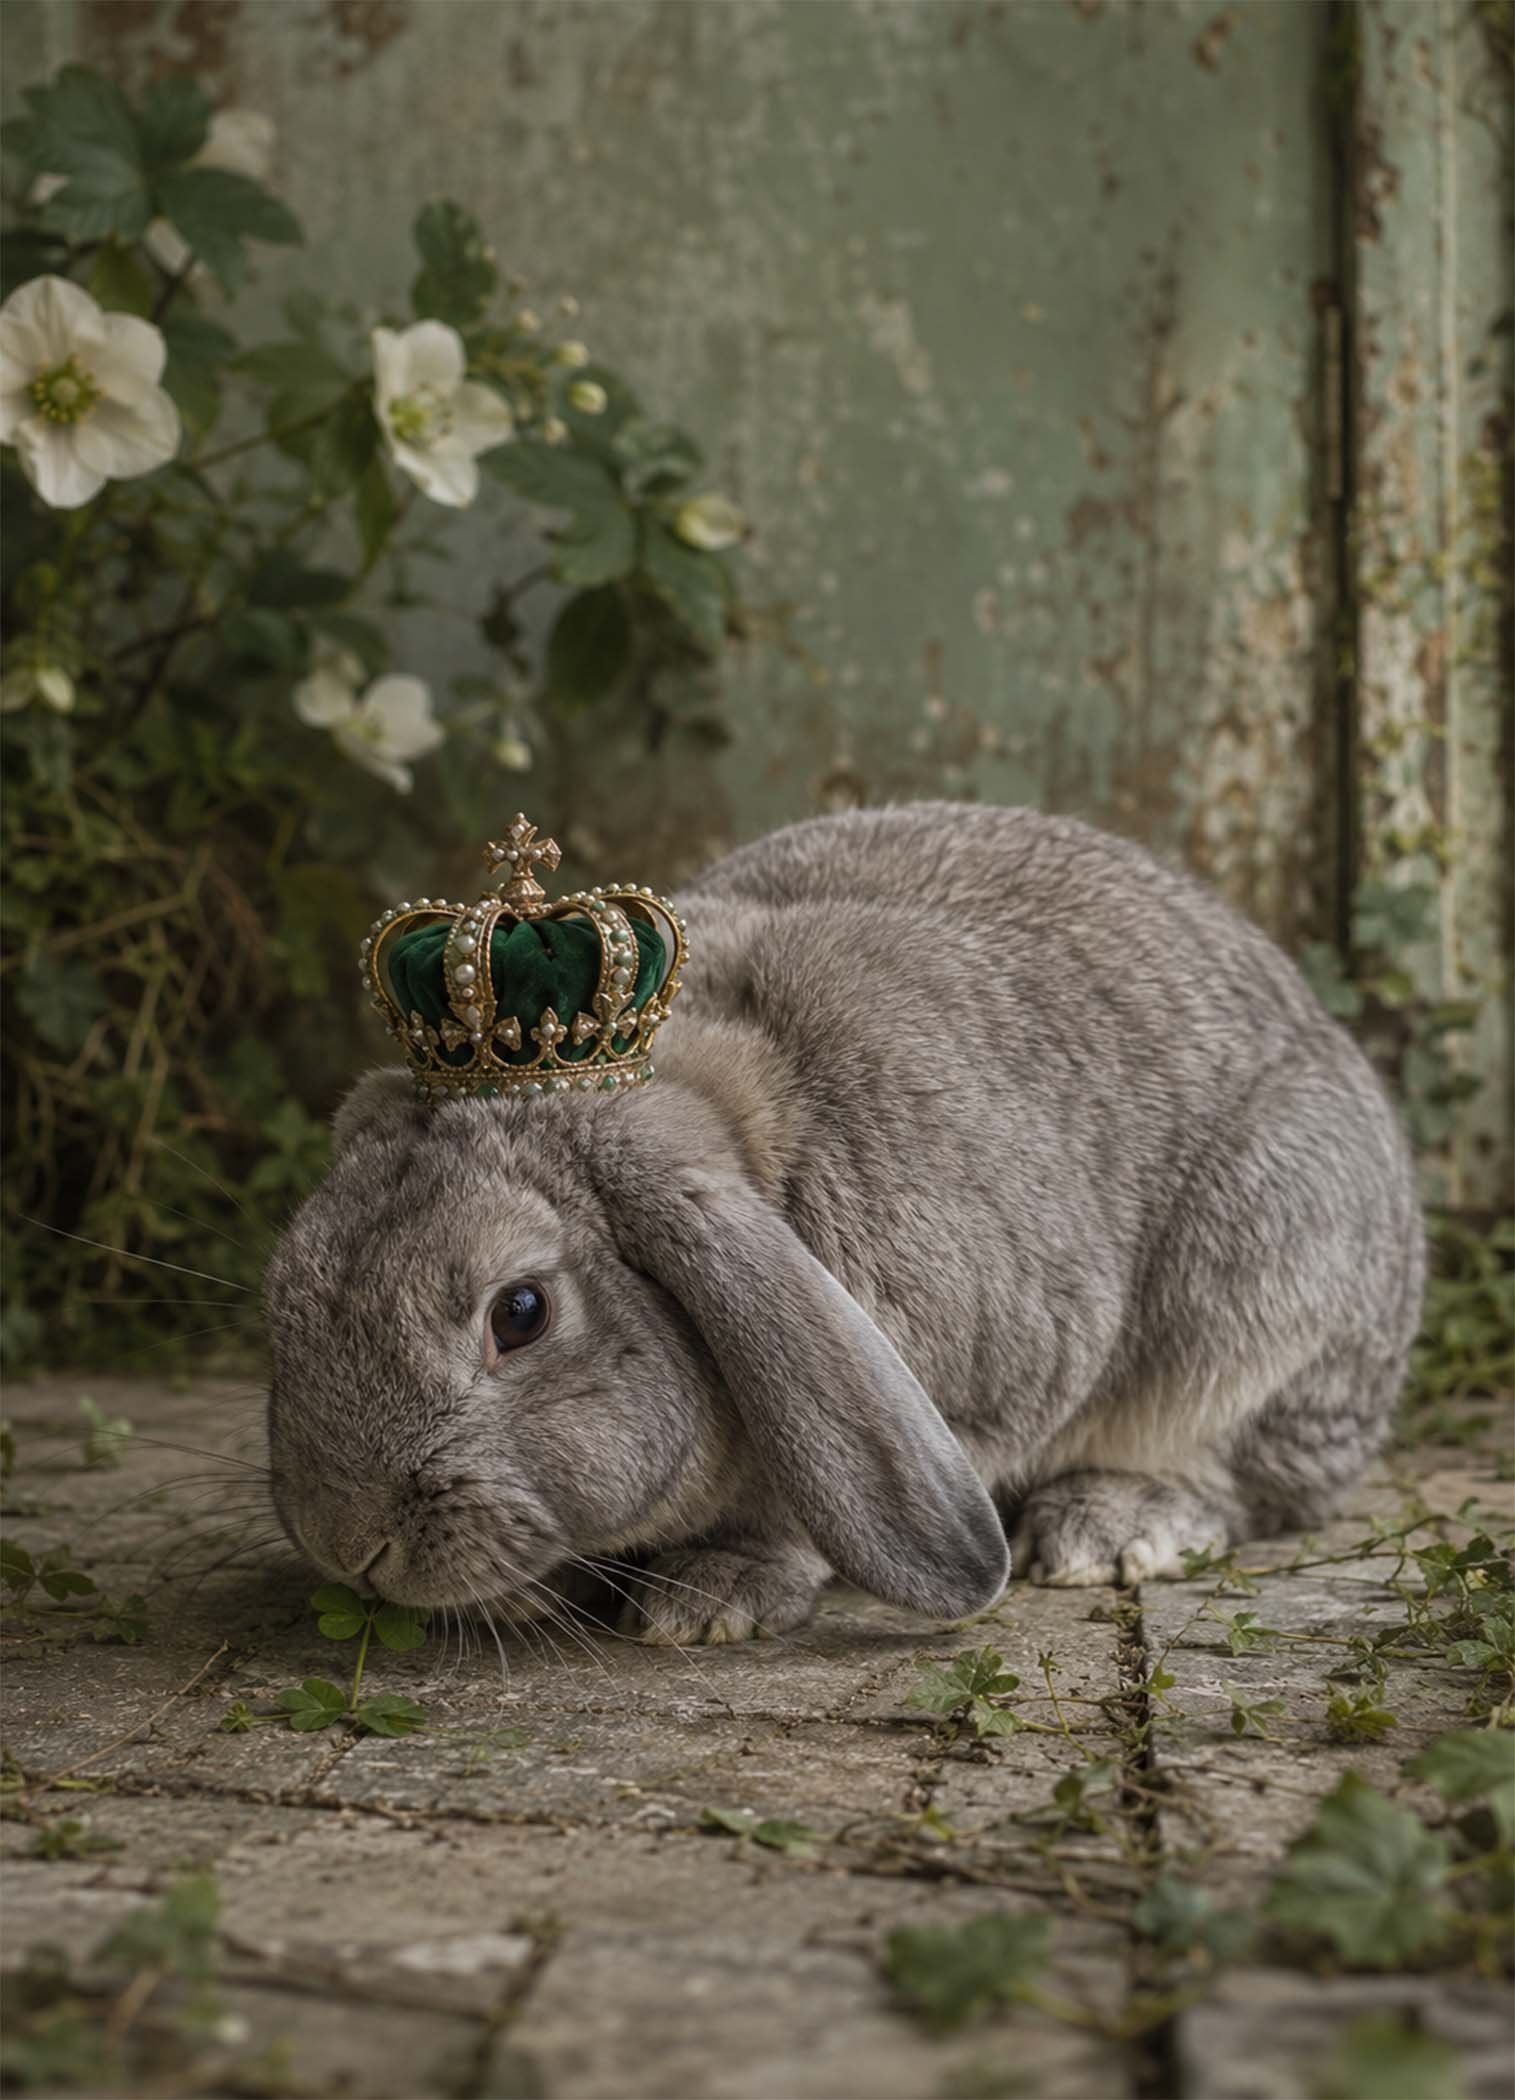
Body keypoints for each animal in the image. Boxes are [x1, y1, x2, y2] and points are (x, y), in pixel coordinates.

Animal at [262, 801, 1423, 1645]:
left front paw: (706, 1601)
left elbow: (809, 1502)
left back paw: (1106, 1529)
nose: (343, 1540)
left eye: (521, 1313)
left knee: (1241, 1474)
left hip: (1264, 1292)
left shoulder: (974, 1383)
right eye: (288, 1285)